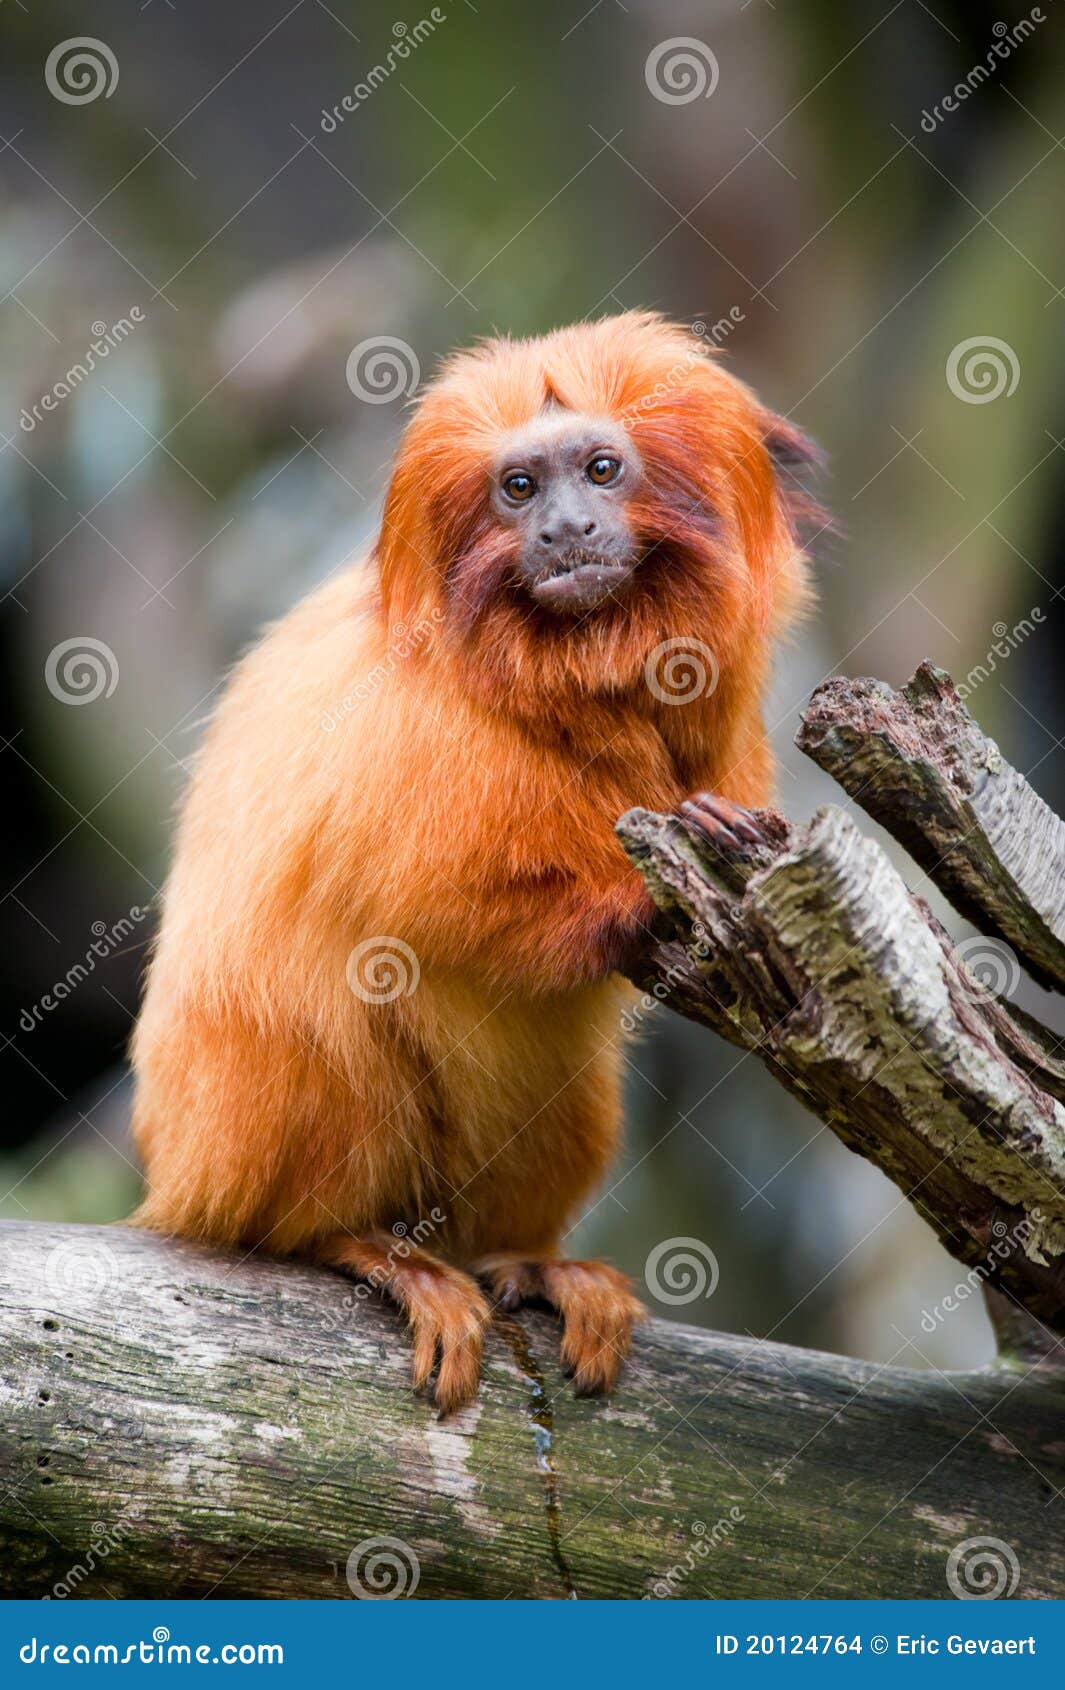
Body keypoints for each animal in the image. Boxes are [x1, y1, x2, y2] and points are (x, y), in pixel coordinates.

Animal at [130, 312, 818, 1413]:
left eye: (600, 469)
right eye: (520, 488)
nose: (566, 530)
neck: (569, 675)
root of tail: (174, 1180)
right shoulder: (422, 739)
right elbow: (439, 907)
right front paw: (637, 901)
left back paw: (522, 1256)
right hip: (229, 1132)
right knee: (328, 1045)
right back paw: (357, 1244)